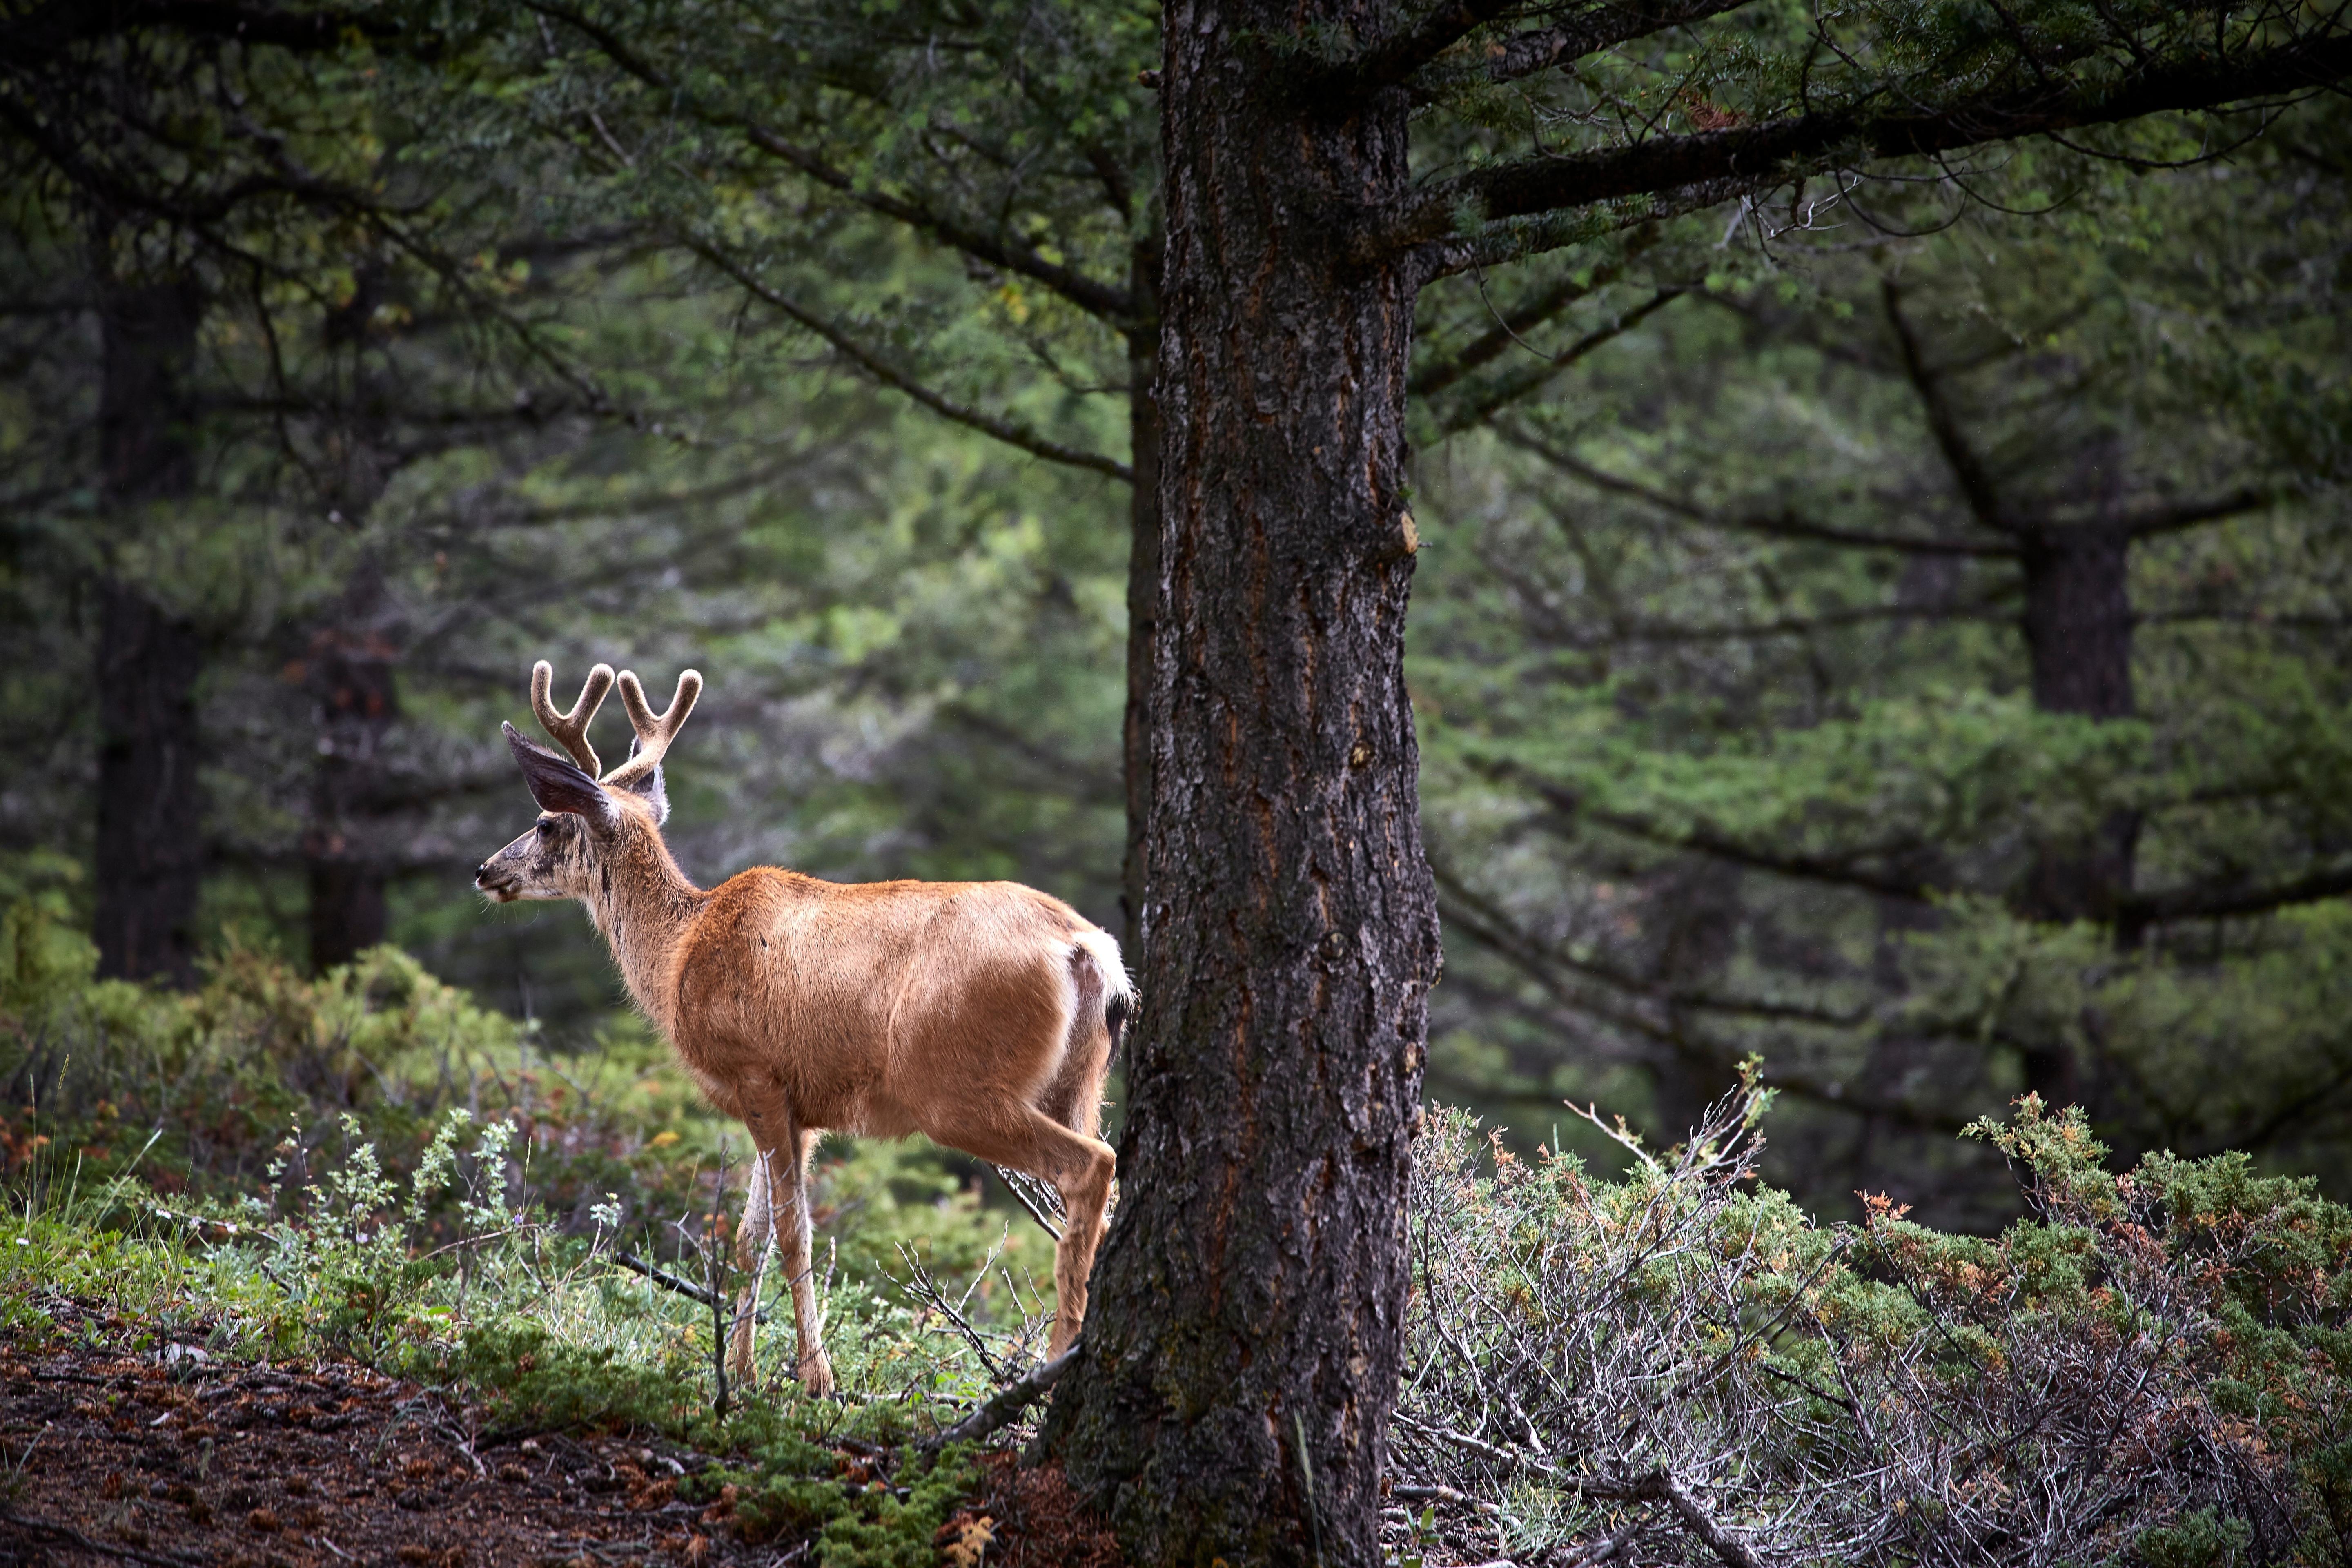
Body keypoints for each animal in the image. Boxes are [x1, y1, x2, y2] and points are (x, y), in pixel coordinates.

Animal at [470, 663, 1129, 1401]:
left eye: (546, 823)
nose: (486, 870)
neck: (677, 955)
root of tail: (1087, 951)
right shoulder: (800, 1106)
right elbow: (747, 1236)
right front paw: (741, 1373)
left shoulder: (759, 1071)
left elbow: (793, 1232)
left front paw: (814, 1377)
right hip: (1079, 1081)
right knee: (1103, 1189)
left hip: (955, 1087)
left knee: (1091, 1166)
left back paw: (1056, 1358)